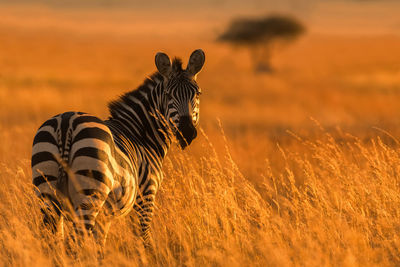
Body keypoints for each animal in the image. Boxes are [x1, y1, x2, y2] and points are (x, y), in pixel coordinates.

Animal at [30, 49, 205, 250]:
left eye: (197, 94)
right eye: (168, 95)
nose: (186, 132)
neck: (140, 134)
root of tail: (66, 123)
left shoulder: (106, 216)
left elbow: (100, 244)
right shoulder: (146, 195)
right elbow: (143, 238)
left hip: (47, 191)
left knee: (52, 239)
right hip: (90, 194)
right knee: (78, 239)